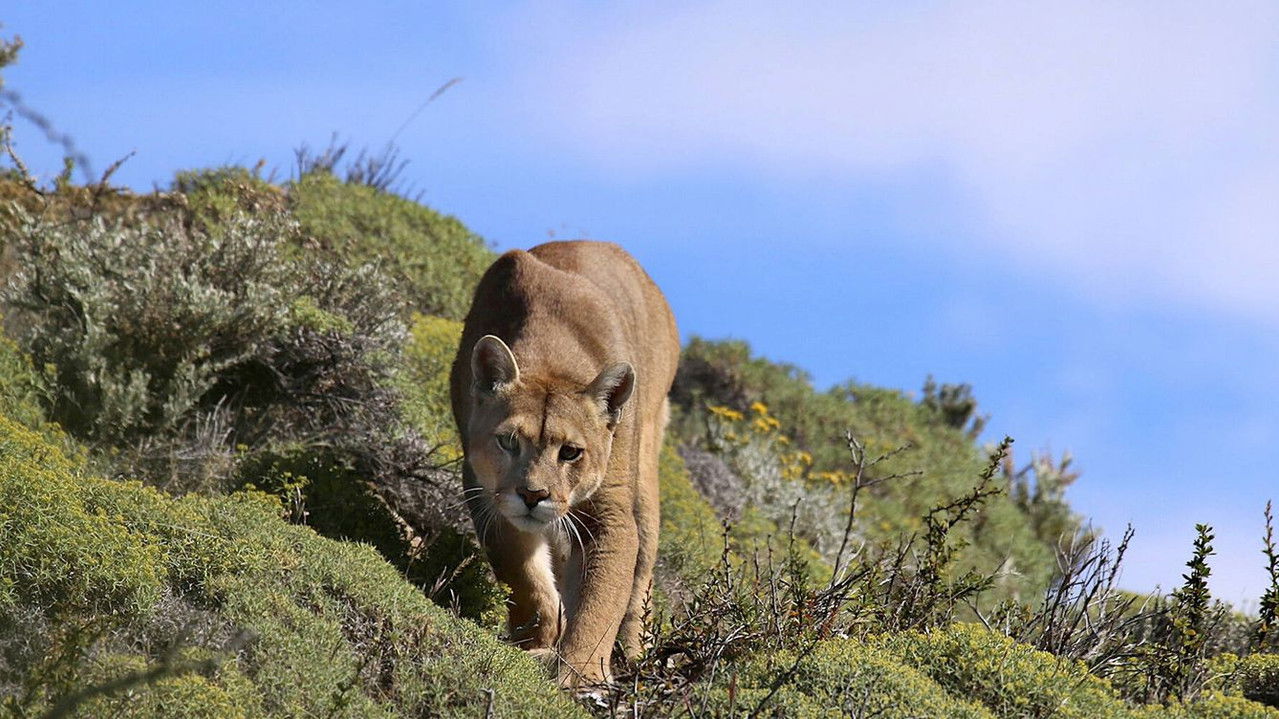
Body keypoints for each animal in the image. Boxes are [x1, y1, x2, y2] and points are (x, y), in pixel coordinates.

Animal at [449, 241, 680, 687]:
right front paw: (539, 637)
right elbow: (522, 575)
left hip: (646, 477)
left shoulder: (608, 513)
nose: (532, 495)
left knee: (640, 577)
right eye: (508, 441)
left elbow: (601, 598)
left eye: (571, 451)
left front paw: (580, 673)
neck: (550, 355)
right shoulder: (486, 494)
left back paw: (634, 655)